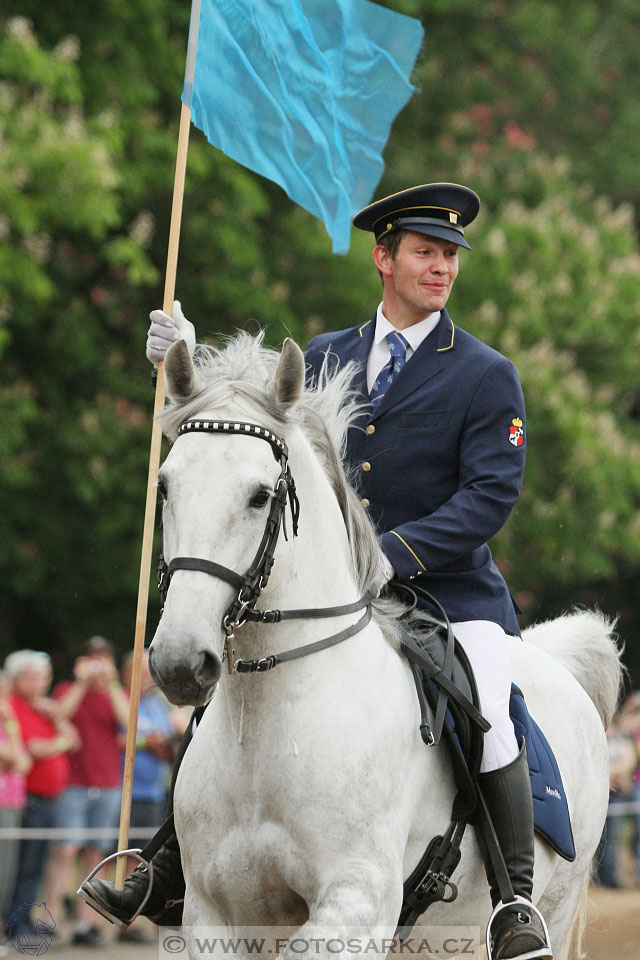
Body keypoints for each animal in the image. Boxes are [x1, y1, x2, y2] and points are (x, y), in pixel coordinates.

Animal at [149, 334, 620, 956]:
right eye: (165, 487)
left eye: (259, 495)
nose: (179, 661)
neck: (269, 725)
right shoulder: (215, 912)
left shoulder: (356, 901)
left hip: (551, 906)